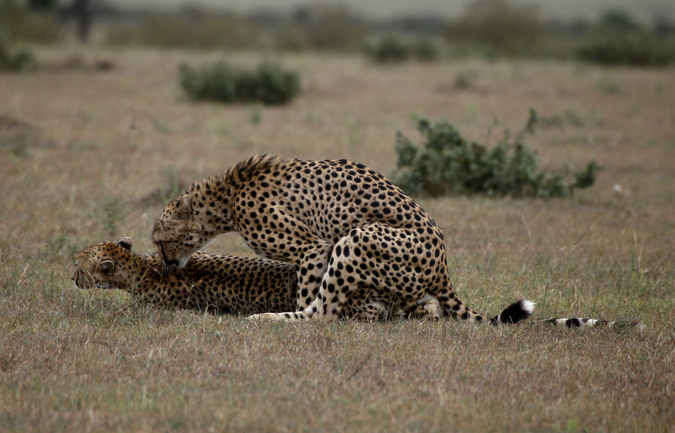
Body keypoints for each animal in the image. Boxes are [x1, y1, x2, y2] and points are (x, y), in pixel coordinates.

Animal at [151, 154, 536, 322]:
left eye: (158, 239)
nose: (165, 263)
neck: (226, 197)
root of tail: (443, 266)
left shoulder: (312, 247)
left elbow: (308, 297)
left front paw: (294, 312)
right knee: (424, 309)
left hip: (358, 237)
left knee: (323, 312)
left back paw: (269, 319)